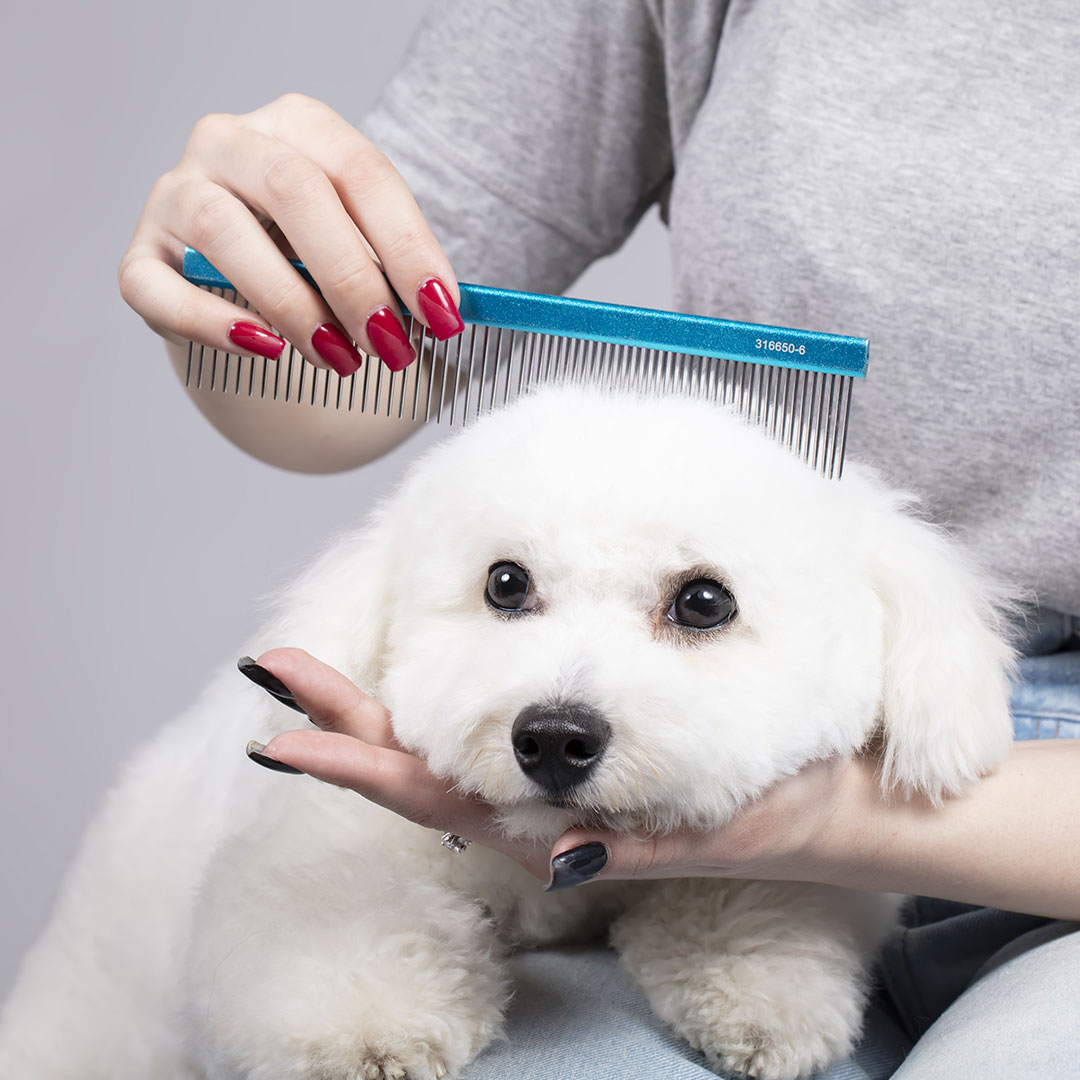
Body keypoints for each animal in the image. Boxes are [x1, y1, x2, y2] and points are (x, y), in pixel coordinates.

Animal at [0, 390, 1015, 1080]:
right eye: (505, 583)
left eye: (703, 601)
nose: (555, 737)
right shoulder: (320, 841)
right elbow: (334, 913)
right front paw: (366, 1029)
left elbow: (759, 900)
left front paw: (761, 989)